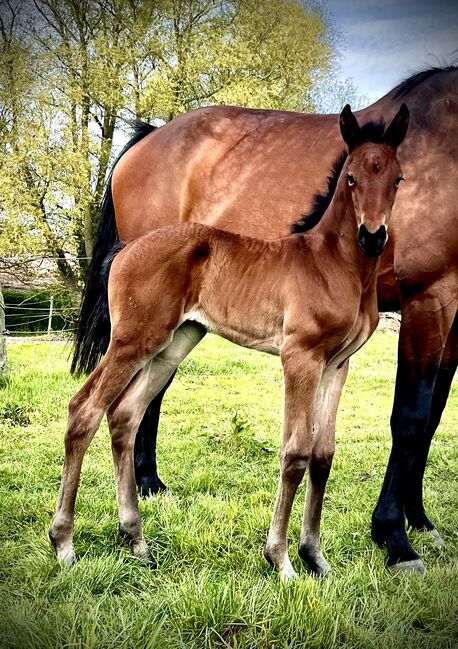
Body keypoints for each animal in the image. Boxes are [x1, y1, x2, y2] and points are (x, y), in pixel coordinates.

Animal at [71, 64, 458, 572]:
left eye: (400, 179)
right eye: (350, 179)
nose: (373, 237)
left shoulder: (358, 355)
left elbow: (357, 443)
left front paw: (400, 527)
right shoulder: (403, 309)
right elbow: (371, 430)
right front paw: (378, 541)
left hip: (176, 334)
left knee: (131, 406)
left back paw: (140, 517)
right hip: (141, 334)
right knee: (99, 406)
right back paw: (106, 517)